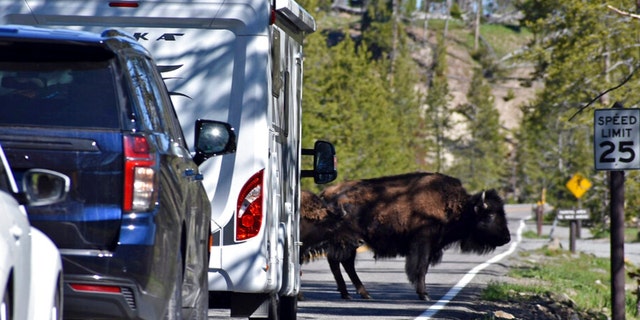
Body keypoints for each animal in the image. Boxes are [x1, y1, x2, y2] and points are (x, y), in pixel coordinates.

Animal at [320, 172, 516, 300]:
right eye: (490, 215)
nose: (506, 238)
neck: (456, 206)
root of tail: (326, 195)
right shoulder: (423, 243)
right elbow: (420, 268)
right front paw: (424, 294)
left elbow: (424, 267)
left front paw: (422, 292)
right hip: (348, 241)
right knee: (339, 262)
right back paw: (353, 294)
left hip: (351, 242)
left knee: (342, 262)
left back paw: (357, 294)